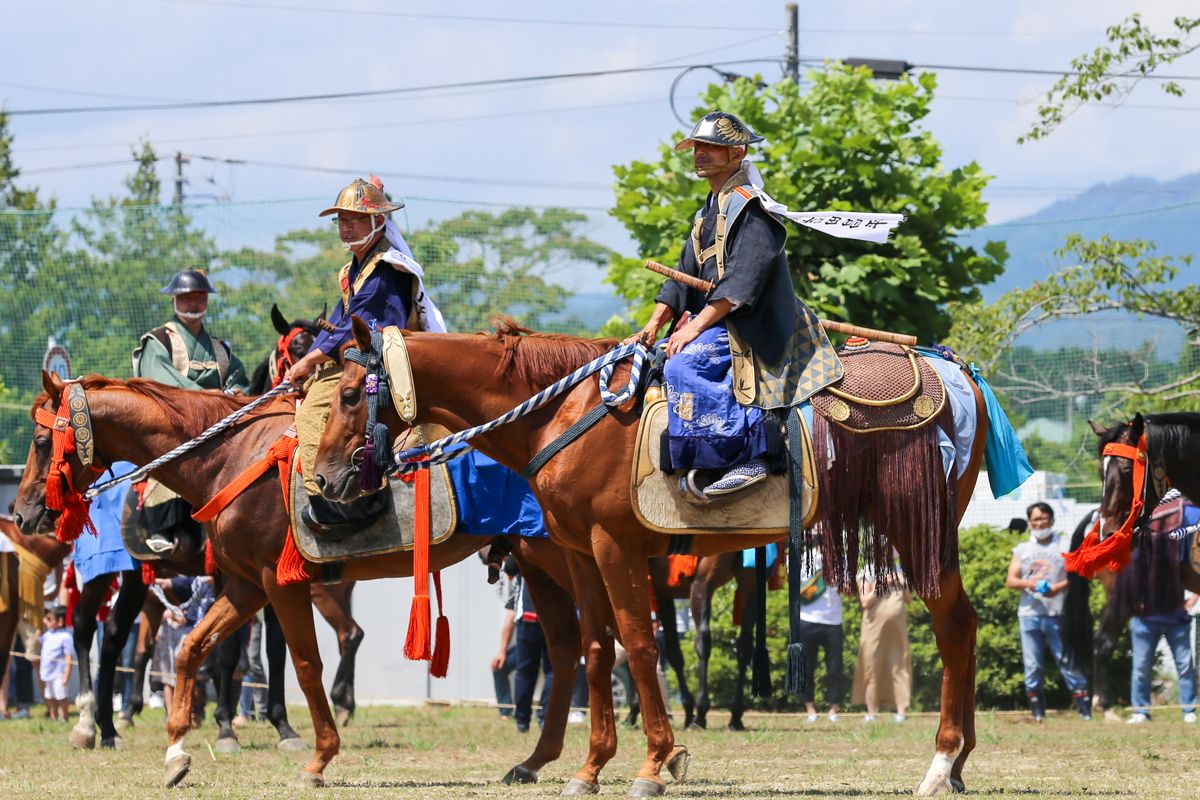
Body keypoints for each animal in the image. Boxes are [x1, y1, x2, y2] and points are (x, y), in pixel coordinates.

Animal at [11, 374, 583, 786]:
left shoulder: (277, 583)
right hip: (540, 563)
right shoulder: (245, 586)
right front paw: (176, 752)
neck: (228, 458)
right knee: (568, 647)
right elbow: (193, 650)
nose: (21, 514)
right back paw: (538, 760)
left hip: (558, 557)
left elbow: (303, 665)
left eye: (40, 440)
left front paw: (317, 756)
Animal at [314, 319, 988, 796]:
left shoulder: (615, 546)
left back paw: (940, 763)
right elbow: (595, 651)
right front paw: (590, 768)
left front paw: (657, 762)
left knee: (952, 626)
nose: (323, 478)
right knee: (965, 625)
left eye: (347, 394)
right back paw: (957, 765)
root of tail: (958, 377)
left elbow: (638, 646)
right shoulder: (578, 552)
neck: (563, 413)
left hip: (918, 526)